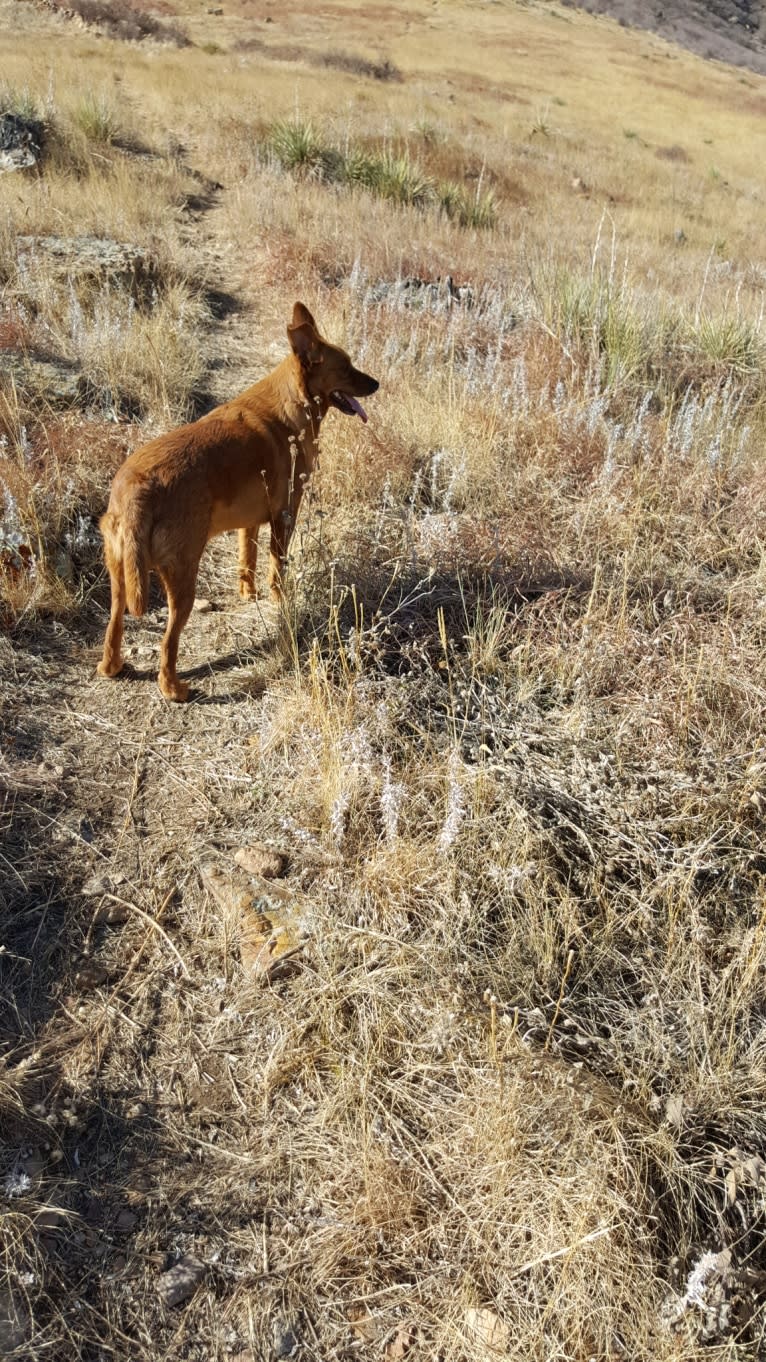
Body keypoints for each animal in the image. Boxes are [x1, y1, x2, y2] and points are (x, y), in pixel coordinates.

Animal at [96, 302, 376, 697]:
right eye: (346, 368)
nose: (377, 383)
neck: (292, 403)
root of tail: (136, 487)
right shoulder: (284, 515)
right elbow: (277, 567)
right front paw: (279, 600)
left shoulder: (250, 522)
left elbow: (247, 560)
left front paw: (247, 593)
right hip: (182, 575)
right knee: (168, 642)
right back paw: (174, 689)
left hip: (119, 573)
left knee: (114, 625)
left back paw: (113, 667)